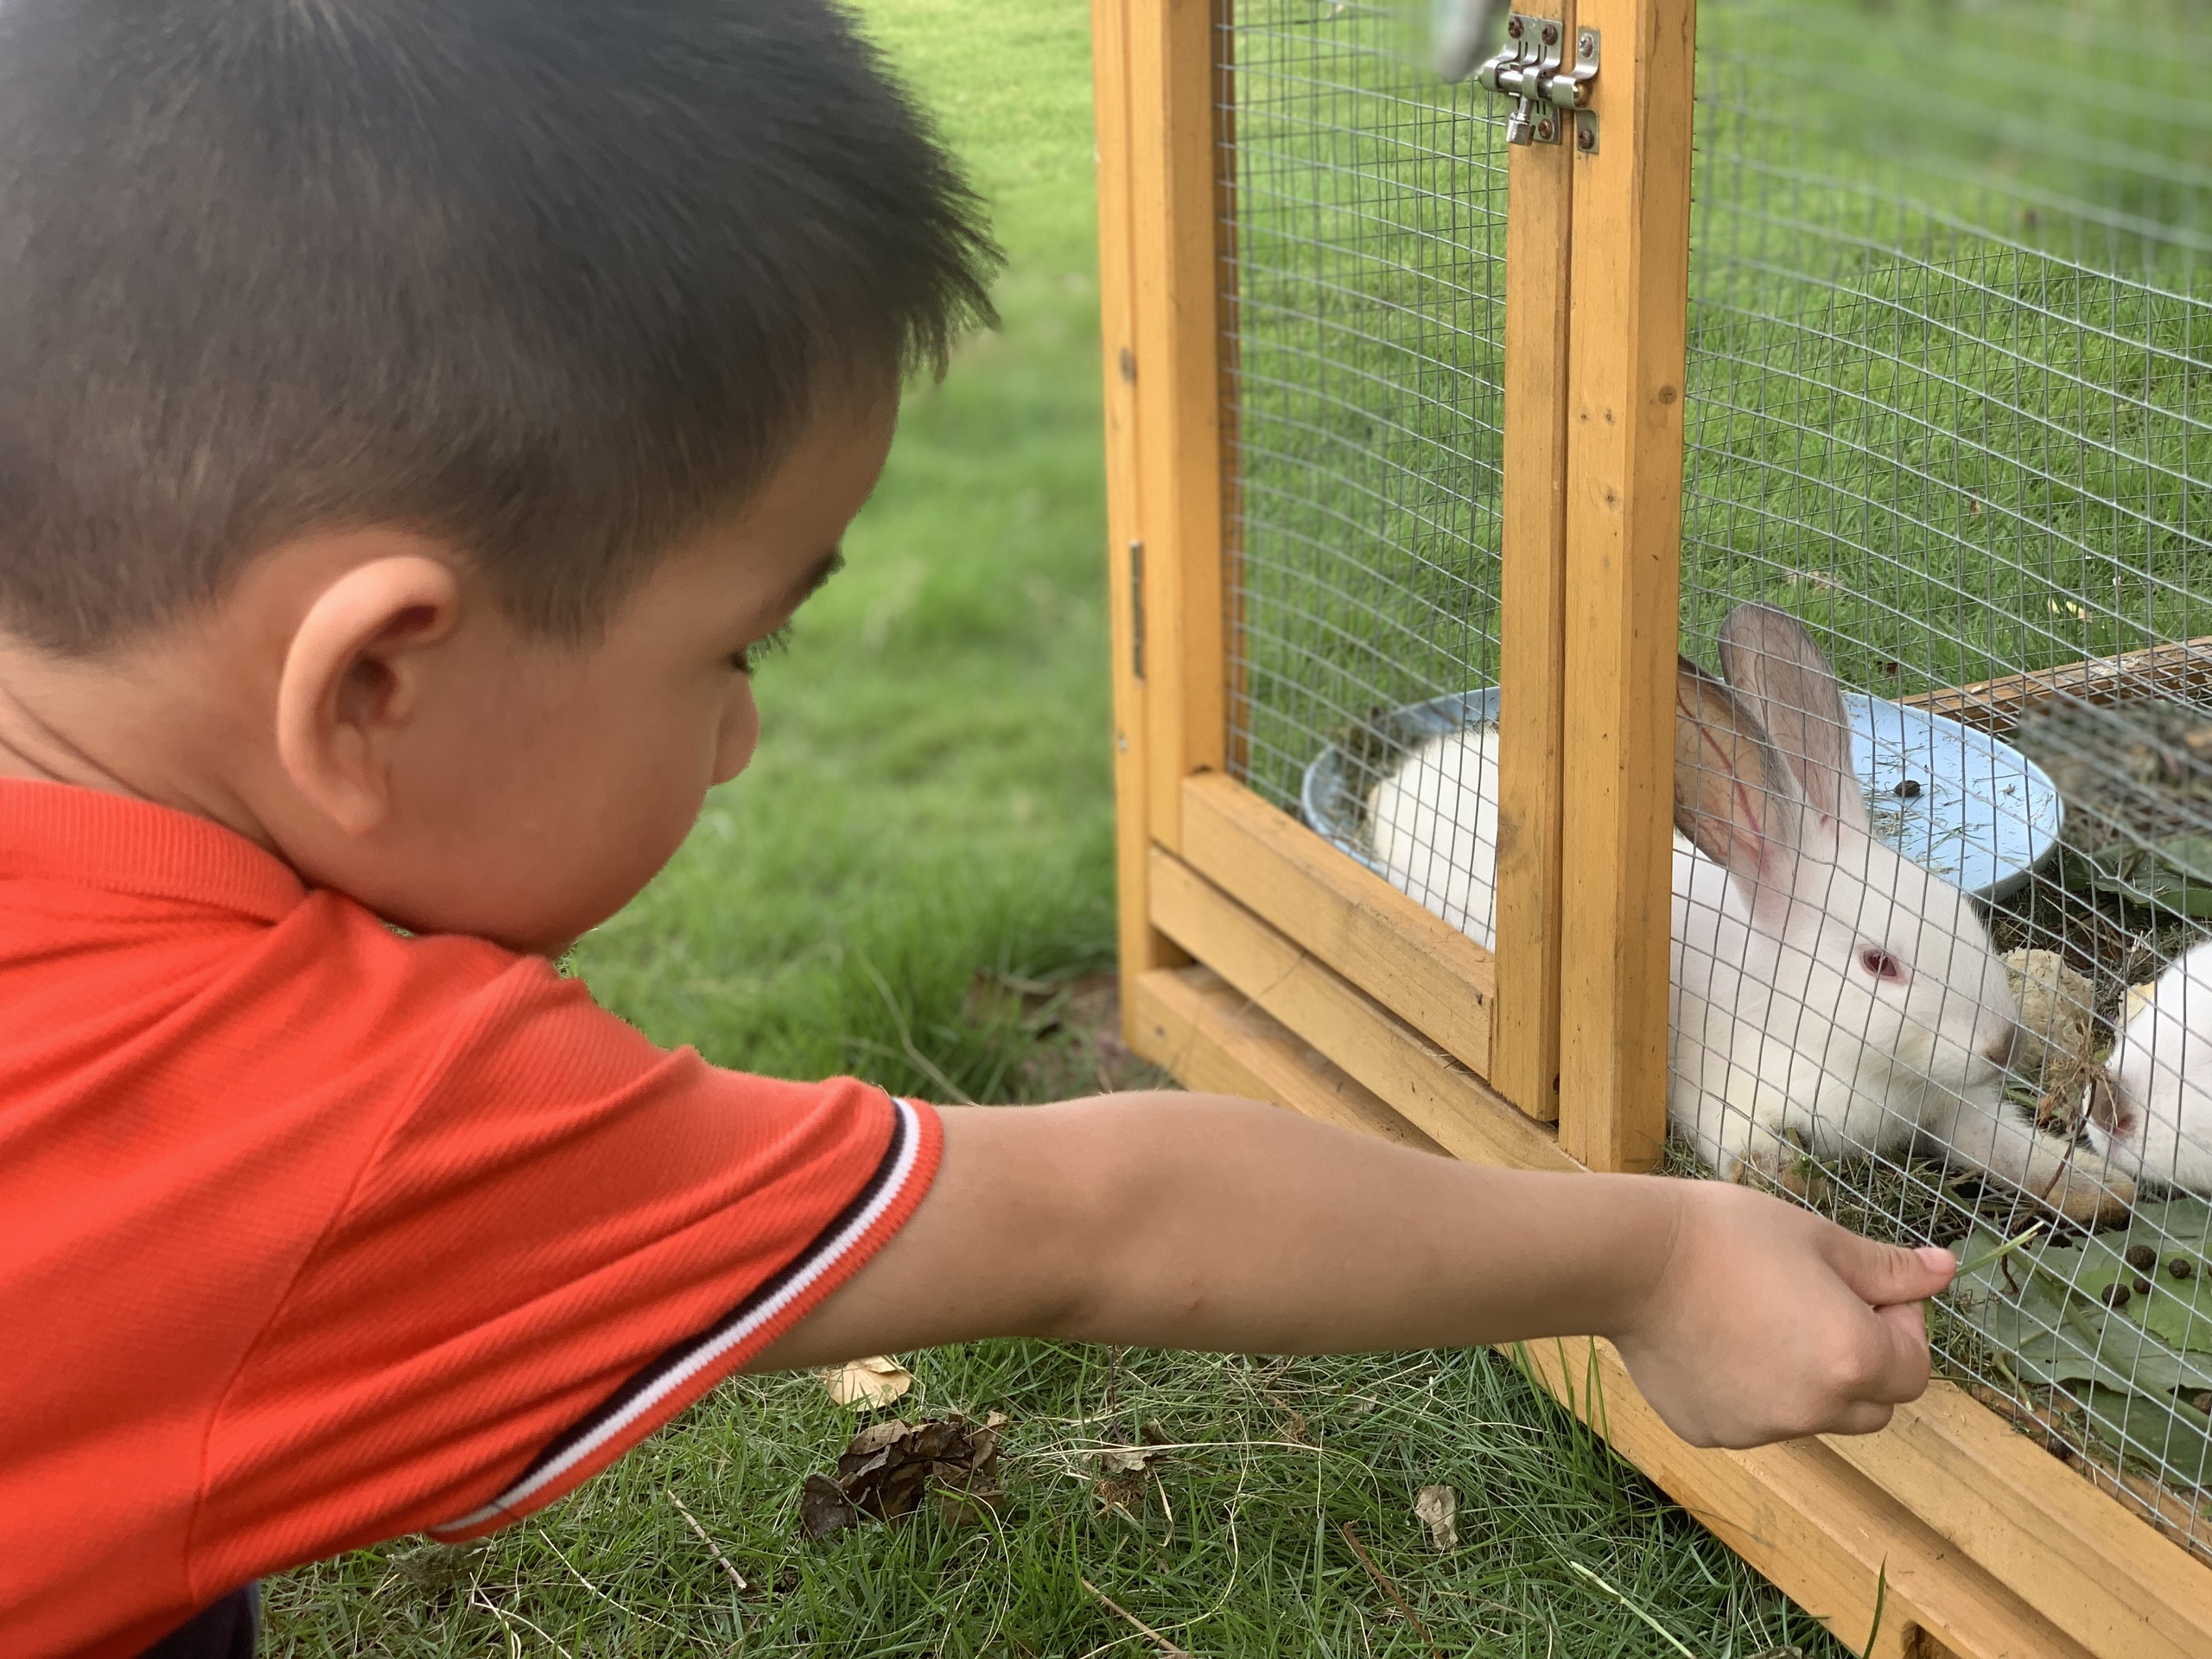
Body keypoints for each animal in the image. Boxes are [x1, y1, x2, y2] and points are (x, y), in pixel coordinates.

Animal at [1371, 606, 2132, 1230]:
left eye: (1966, 921)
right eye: (1879, 964)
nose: (2002, 1045)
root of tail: (1410, 777)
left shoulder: (1957, 1109)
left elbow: (2012, 1151)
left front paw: (2104, 1190)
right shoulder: (1729, 1100)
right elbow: (1752, 1155)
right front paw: (1793, 1182)